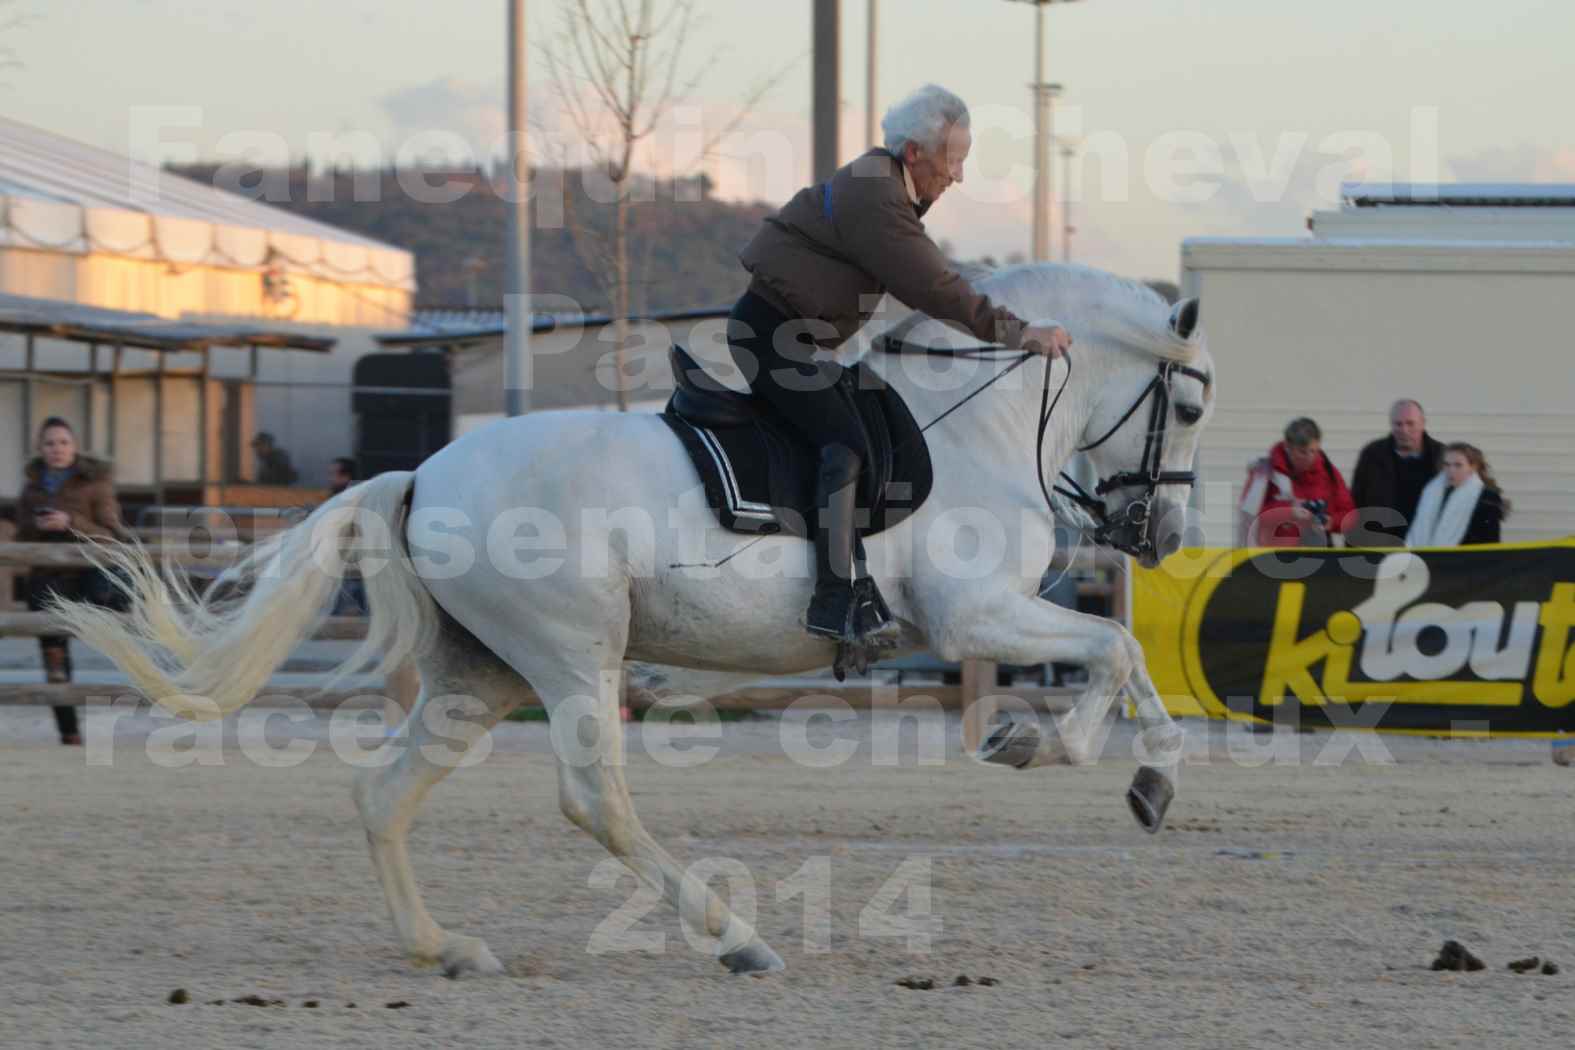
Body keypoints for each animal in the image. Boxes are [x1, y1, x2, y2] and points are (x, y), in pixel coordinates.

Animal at [55, 262, 1215, 976]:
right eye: (1193, 405)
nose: (1159, 531)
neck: (980, 421)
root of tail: (421, 475)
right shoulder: (975, 619)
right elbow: (1114, 649)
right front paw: (1058, 749)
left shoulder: (992, 619)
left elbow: (1127, 658)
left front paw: (1137, 778)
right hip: (571, 654)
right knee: (594, 800)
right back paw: (736, 936)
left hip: (483, 675)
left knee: (383, 794)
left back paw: (445, 947)